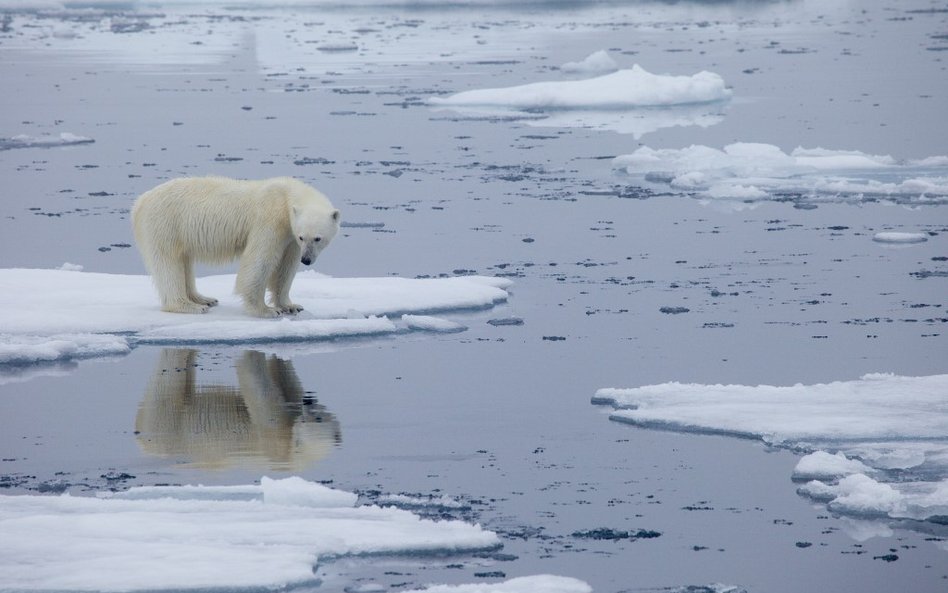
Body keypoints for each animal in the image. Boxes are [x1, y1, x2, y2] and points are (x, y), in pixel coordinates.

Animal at [131, 175, 340, 316]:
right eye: (304, 237)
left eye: (317, 238)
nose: (307, 260)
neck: (285, 196)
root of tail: (140, 201)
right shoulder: (270, 221)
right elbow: (260, 260)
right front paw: (266, 310)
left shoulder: (289, 236)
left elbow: (286, 267)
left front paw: (291, 305)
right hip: (165, 224)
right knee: (168, 263)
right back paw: (188, 305)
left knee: (184, 261)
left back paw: (204, 299)